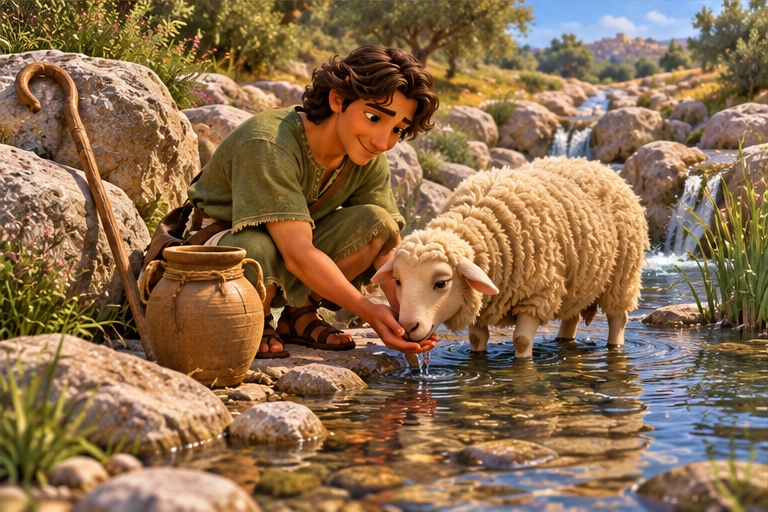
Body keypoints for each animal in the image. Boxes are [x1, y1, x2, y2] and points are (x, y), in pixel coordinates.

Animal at [372, 156, 649, 358]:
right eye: (398, 281)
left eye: (441, 283)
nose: (408, 328)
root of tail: (598, 164)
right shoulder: (479, 300)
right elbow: (476, 338)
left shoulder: (538, 295)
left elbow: (522, 340)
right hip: (577, 281)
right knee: (571, 315)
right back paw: (563, 341)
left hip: (622, 276)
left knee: (618, 318)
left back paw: (615, 346)